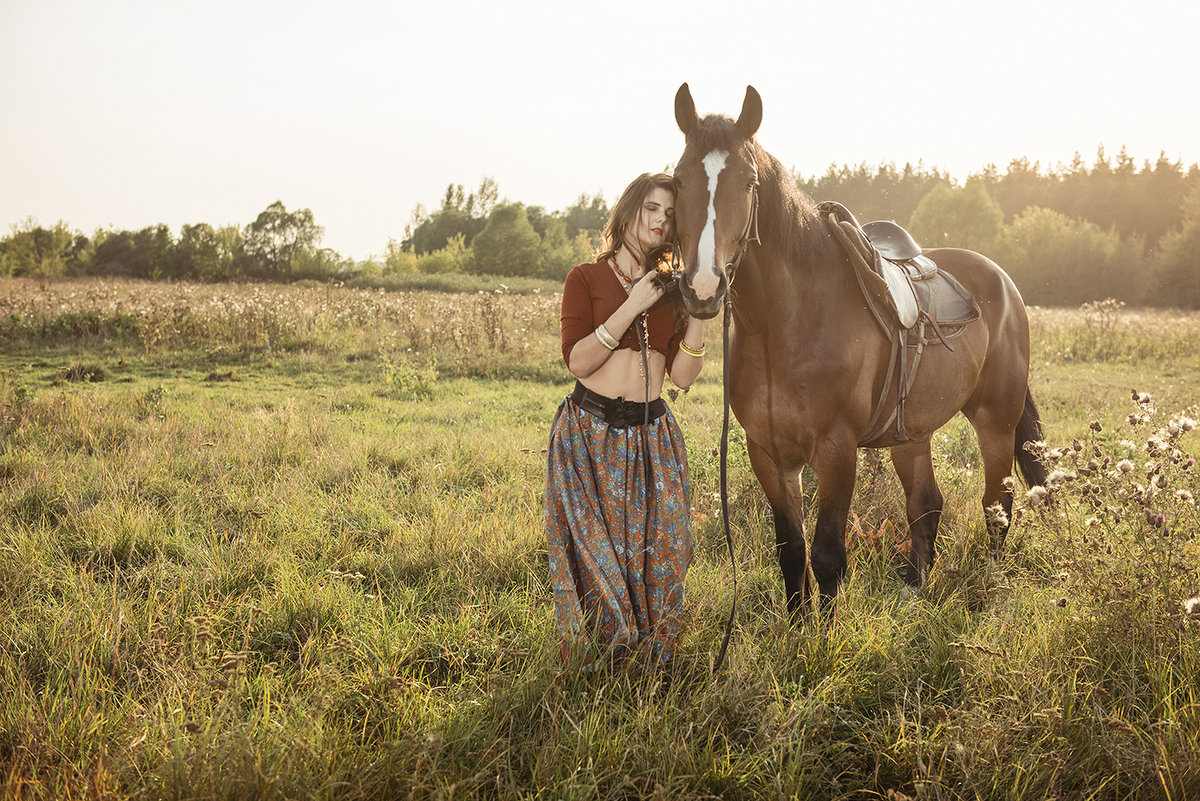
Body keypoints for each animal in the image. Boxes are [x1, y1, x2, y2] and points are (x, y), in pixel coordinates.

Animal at [672, 84, 1046, 618]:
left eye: (747, 183)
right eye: (678, 181)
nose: (703, 287)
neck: (784, 324)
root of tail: (1004, 284)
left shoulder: (837, 450)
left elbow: (827, 555)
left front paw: (823, 635)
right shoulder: (768, 453)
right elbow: (791, 550)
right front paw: (797, 626)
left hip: (997, 420)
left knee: (998, 505)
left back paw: (990, 585)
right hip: (912, 433)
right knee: (926, 505)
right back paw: (912, 592)